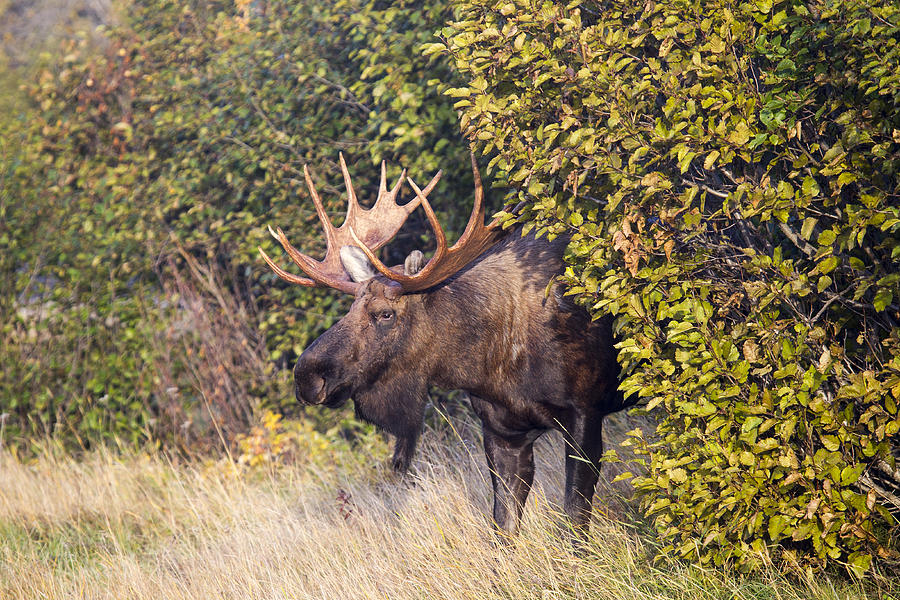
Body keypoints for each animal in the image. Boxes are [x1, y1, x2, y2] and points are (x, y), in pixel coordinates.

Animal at [256, 155, 628, 536]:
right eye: (350, 308)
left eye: (385, 313)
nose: (306, 376)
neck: (490, 365)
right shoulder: (501, 431)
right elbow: (503, 525)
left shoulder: (584, 411)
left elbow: (575, 518)